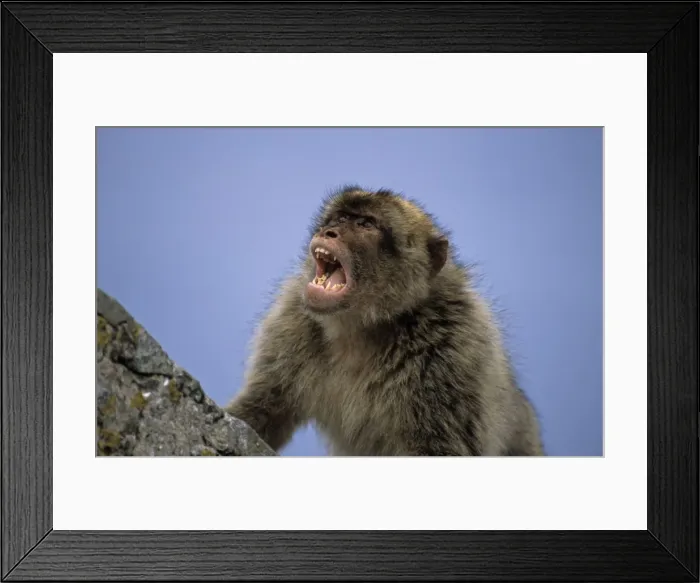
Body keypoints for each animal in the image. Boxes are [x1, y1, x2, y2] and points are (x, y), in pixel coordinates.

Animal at [225, 185, 544, 456]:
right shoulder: (291, 323)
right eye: (341, 217)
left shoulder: (454, 351)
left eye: (367, 224)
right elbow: (263, 409)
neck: (362, 327)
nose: (329, 232)